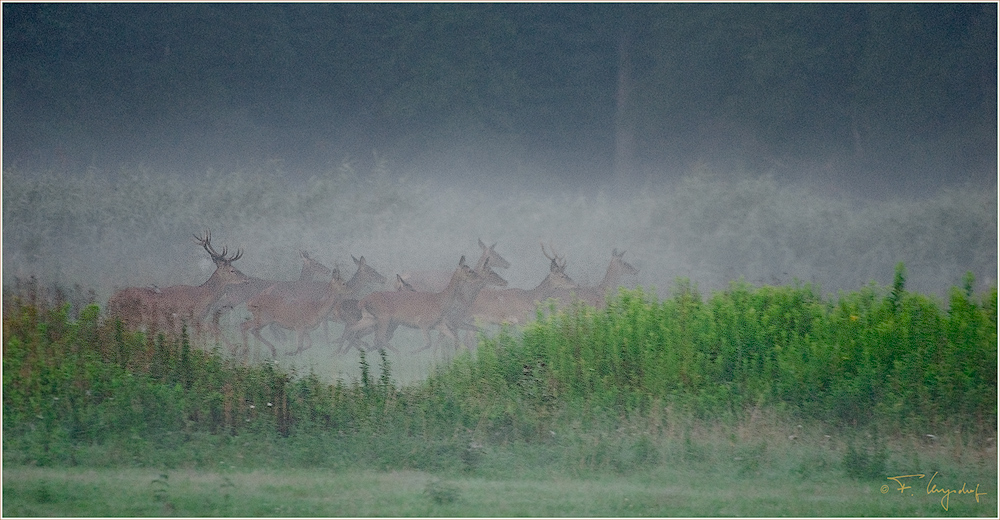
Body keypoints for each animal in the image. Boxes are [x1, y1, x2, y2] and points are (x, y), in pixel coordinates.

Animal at [344, 256, 508, 354]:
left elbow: (457, 340)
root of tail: (362, 301)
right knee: (375, 338)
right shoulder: (434, 323)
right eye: (469, 270)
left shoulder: (444, 324)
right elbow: (436, 343)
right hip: (384, 321)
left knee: (356, 332)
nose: (505, 281)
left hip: (374, 320)